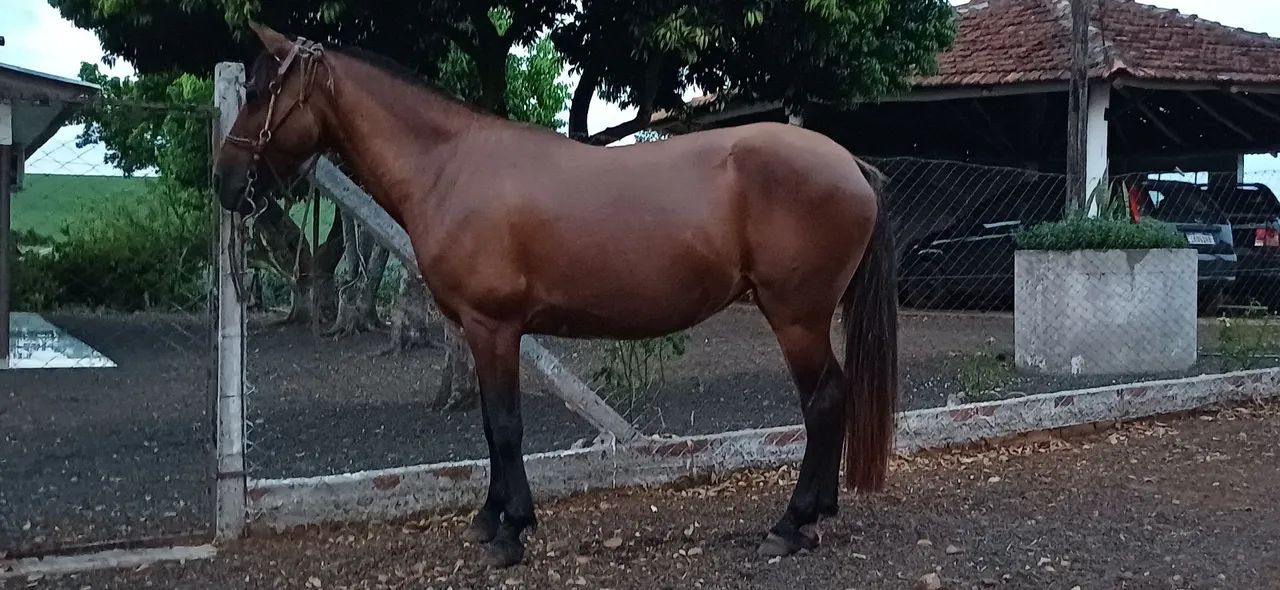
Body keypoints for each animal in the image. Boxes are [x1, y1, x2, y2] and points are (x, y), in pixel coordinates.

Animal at [214, 22, 899, 568]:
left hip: (796, 317)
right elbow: (491, 426)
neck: (451, 164)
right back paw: (817, 514)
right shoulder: (482, 331)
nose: (225, 182)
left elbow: (505, 426)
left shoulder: (493, 326)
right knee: (832, 398)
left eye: (260, 92)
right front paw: (490, 518)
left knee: (823, 400)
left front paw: (509, 532)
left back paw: (791, 524)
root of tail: (849, 164)